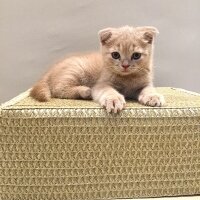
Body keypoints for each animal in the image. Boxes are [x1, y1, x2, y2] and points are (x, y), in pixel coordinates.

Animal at [29, 25, 164, 112]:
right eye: (116, 55)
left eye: (136, 55)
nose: (125, 65)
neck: (127, 79)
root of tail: (51, 68)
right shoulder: (101, 84)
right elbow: (108, 91)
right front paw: (113, 100)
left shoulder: (145, 84)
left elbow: (149, 89)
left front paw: (153, 97)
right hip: (76, 70)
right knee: (58, 89)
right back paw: (85, 91)